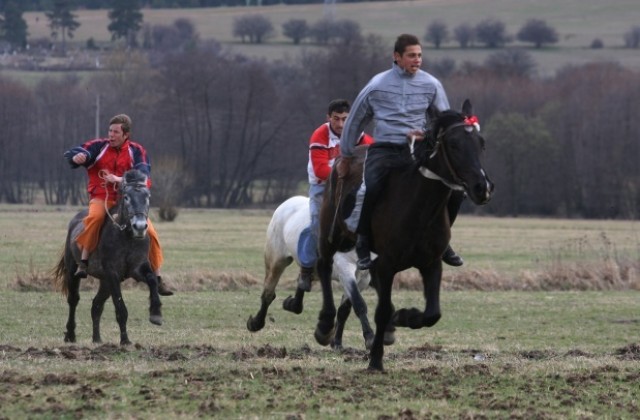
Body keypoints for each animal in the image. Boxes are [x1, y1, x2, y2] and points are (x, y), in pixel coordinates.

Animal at [52, 169, 162, 346]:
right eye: (127, 197)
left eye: (148, 196)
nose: (139, 226)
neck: (126, 235)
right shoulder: (112, 273)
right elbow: (120, 307)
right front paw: (125, 340)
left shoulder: (137, 268)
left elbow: (152, 279)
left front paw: (156, 313)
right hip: (73, 271)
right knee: (73, 300)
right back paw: (70, 335)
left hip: (104, 282)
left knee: (96, 305)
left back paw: (97, 339)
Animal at [246, 195, 376, 350]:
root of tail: (286, 203)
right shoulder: (345, 270)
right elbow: (359, 304)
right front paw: (370, 338)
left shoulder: (363, 278)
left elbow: (344, 310)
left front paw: (337, 342)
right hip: (277, 261)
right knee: (268, 294)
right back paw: (255, 323)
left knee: (302, 281)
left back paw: (292, 304)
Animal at [312, 100, 492, 370]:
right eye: (454, 144)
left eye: (481, 143)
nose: (482, 187)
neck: (419, 208)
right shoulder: (386, 265)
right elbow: (382, 310)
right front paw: (376, 360)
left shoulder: (431, 263)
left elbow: (432, 314)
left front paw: (403, 317)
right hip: (331, 234)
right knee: (323, 265)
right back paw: (324, 325)